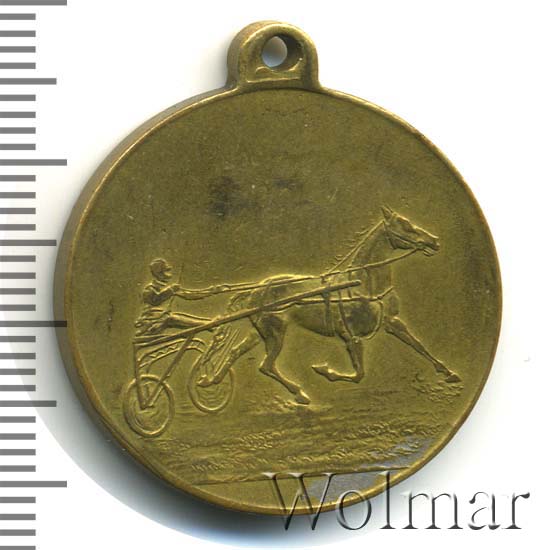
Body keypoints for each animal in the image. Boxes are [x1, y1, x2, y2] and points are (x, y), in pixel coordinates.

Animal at [198, 206, 461, 404]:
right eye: (405, 226)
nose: (434, 241)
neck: (364, 283)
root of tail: (257, 290)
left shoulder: (392, 322)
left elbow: (418, 345)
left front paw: (449, 373)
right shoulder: (352, 336)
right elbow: (358, 374)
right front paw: (324, 371)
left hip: (260, 331)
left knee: (236, 352)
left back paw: (212, 380)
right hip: (275, 332)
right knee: (266, 366)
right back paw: (300, 394)